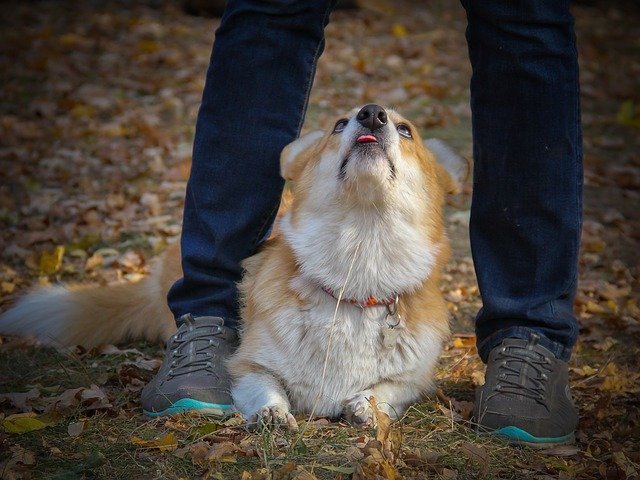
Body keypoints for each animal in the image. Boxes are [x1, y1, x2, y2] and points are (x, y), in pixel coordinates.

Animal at [0, 105, 460, 428]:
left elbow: (387, 390)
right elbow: (264, 384)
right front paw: (272, 412)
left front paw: (365, 404)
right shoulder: (248, 365)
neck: (358, 258)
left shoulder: (414, 380)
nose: (372, 114)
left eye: (406, 130)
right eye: (339, 123)